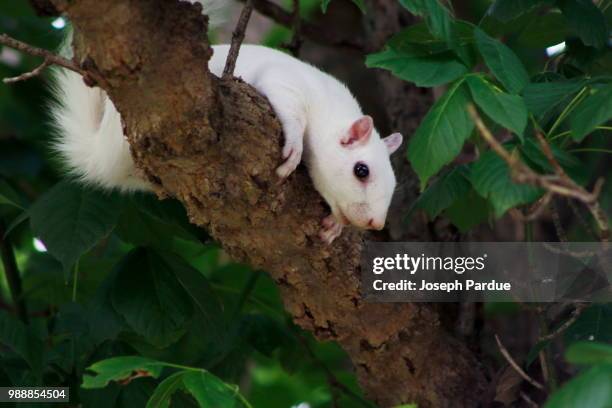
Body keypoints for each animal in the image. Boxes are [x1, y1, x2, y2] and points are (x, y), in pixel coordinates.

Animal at [49, 11, 402, 244]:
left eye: (394, 184)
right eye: (361, 171)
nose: (375, 223)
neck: (328, 104)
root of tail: (101, 154)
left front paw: (335, 225)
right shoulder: (284, 83)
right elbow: (290, 114)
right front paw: (294, 149)